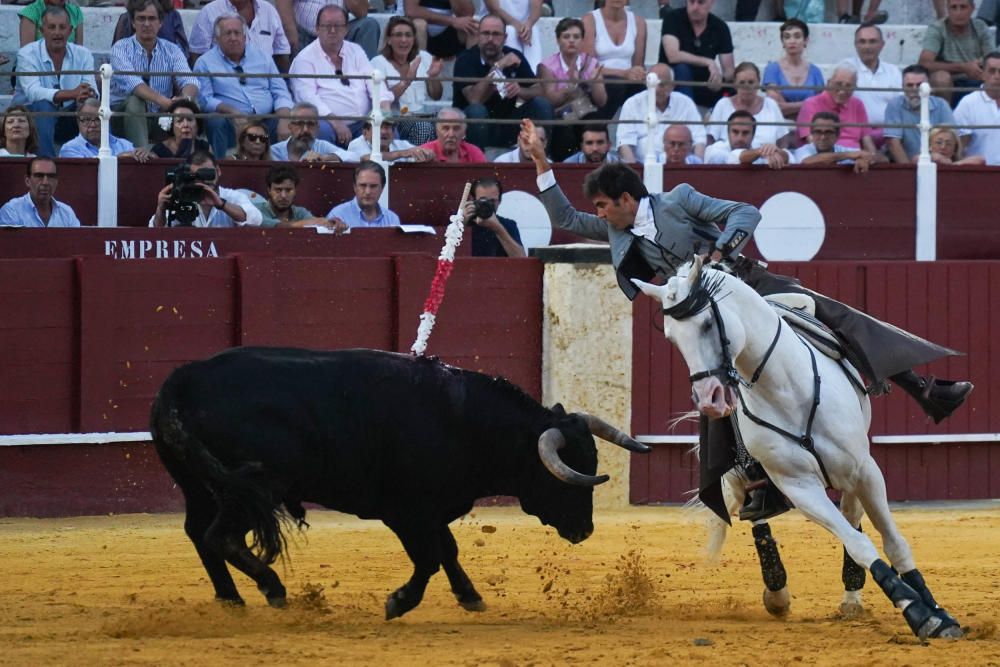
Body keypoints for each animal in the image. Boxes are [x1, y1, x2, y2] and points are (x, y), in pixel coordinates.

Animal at [148, 348, 648, 620]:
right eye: (567, 478)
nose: (583, 530)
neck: (464, 421)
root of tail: (182, 380)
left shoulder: (433, 509)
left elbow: (447, 551)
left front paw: (470, 596)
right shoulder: (406, 511)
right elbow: (428, 558)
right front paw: (399, 601)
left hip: (200, 485)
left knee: (199, 533)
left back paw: (231, 599)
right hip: (252, 488)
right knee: (220, 535)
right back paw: (272, 590)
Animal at [636, 258, 964, 640]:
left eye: (705, 324)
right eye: (671, 337)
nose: (709, 399)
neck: (785, 389)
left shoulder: (866, 470)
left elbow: (891, 540)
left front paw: (937, 611)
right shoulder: (799, 487)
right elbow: (858, 543)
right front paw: (918, 612)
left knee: (852, 513)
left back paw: (851, 597)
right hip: (744, 474)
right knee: (760, 515)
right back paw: (777, 592)